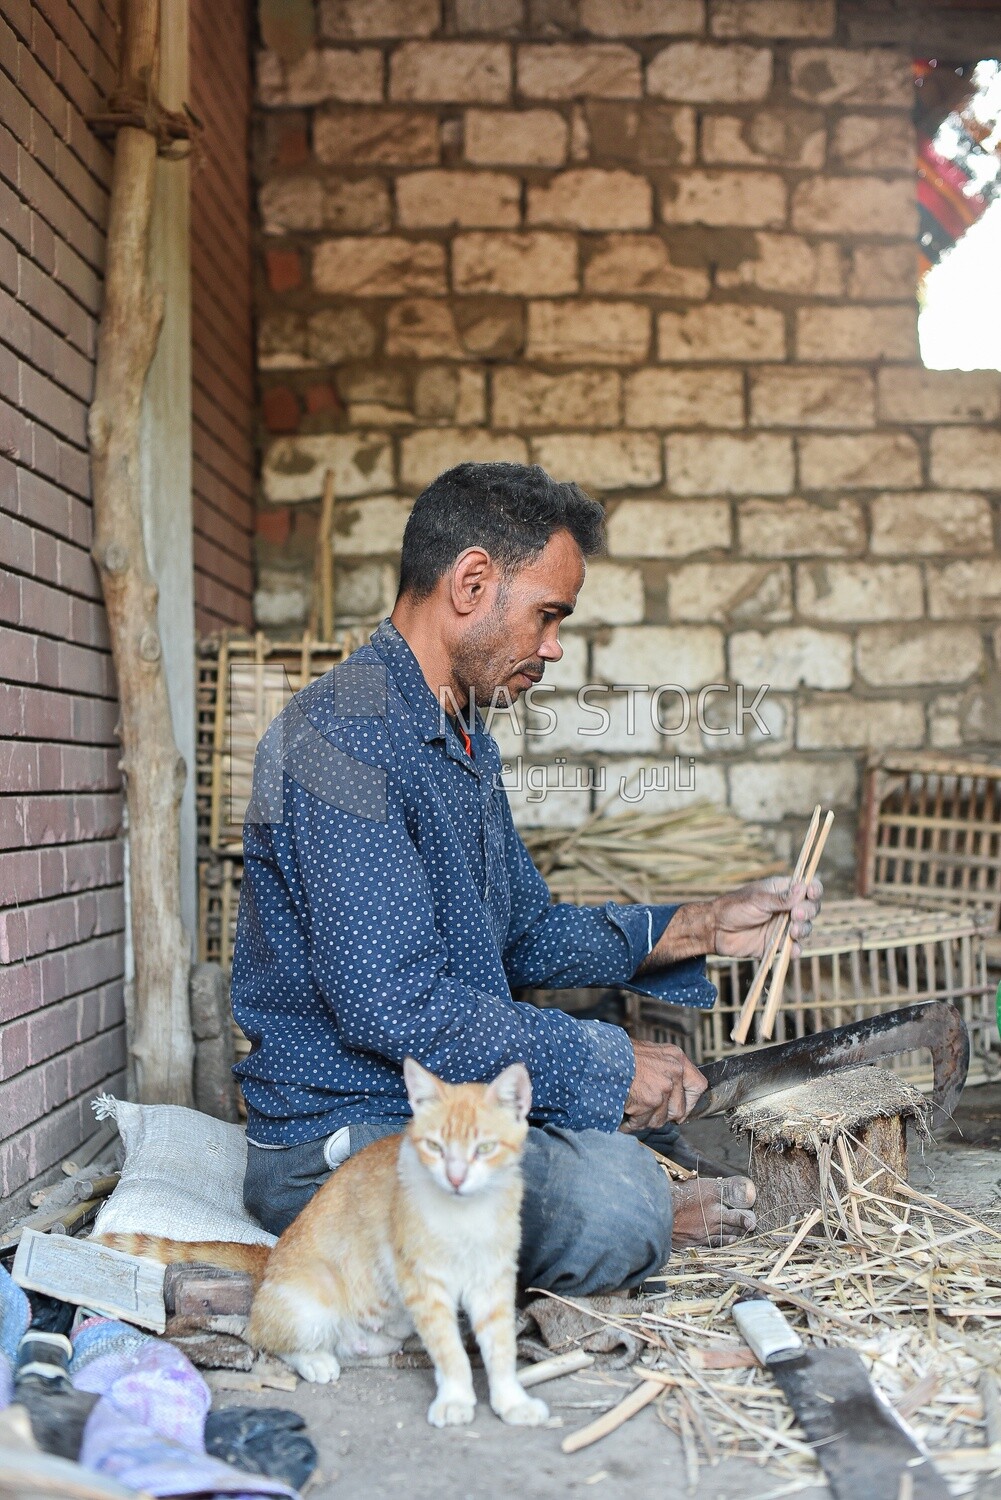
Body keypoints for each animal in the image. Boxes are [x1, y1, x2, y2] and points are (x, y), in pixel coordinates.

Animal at [96, 1056, 549, 1428]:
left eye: (484, 1148)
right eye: (434, 1147)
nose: (455, 1178)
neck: (467, 1216)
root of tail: (272, 1255)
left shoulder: (494, 1279)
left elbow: (502, 1344)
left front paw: (510, 1400)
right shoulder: (423, 1282)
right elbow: (449, 1347)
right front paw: (456, 1398)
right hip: (313, 1299)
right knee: (261, 1336)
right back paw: (314, 1360)